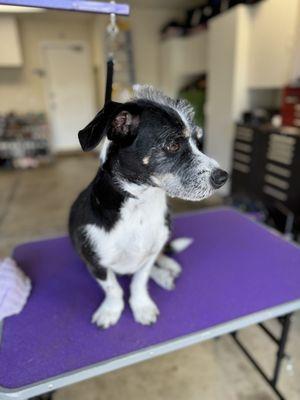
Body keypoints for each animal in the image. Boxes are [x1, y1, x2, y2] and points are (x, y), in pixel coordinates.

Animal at [69, 84, 229, 328]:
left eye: (198, 142)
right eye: (173, 144)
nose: (223, 177)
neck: (141, 205)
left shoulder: (149, 255)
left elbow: (139, 282)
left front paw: (142, 306)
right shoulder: (96, 263)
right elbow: (113, 289)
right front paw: (110, 310)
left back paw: (168, 269)